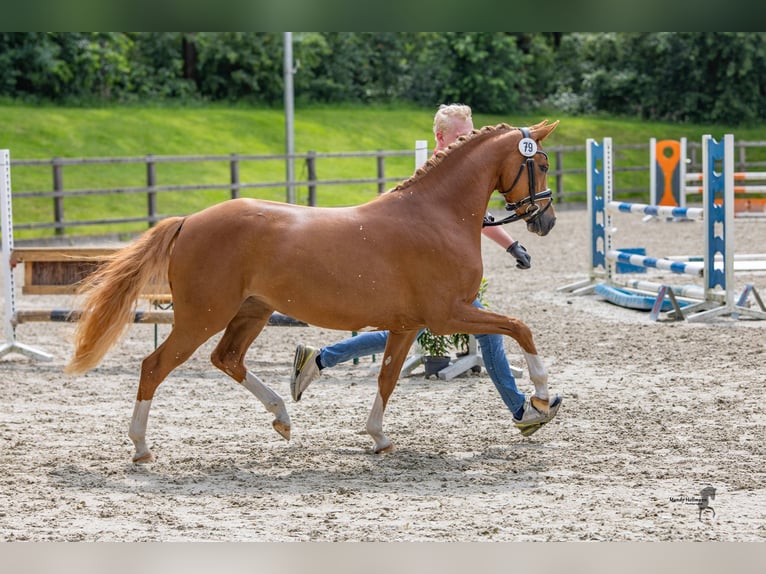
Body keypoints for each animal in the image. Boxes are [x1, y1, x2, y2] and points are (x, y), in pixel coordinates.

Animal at [64, 120, 560, 464]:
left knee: (227, 359)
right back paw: (141, 448)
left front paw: (378, 437)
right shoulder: (447, 314)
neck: (436, 216)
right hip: (201, 317)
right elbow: (520, 327)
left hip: (252, 312)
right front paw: (540, 401)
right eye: (542, 163)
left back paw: (283, 416)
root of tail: (188, 221)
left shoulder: (408, 325)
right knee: (154, 367)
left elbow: (387, 378)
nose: (546, 221)